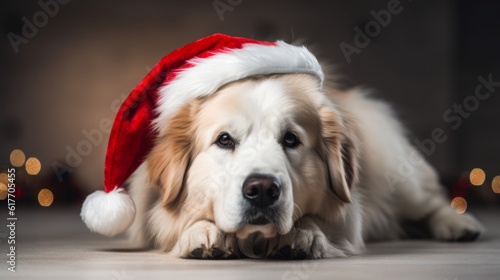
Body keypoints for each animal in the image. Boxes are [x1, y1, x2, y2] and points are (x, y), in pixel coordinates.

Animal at [126, 71, 484, 258]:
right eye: (224, 140)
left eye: (291, 139)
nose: (262, 190)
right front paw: (200, 232)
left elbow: (322, 219)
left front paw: (304, 236)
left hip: (398, 177)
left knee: (432, 203)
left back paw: (460, 225)